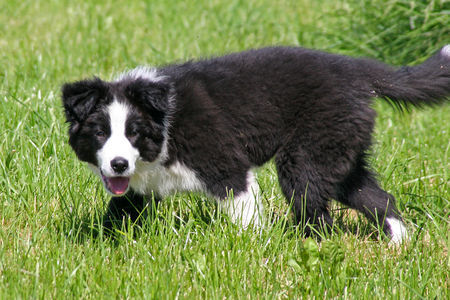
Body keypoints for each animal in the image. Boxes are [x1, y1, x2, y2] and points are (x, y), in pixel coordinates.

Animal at [60, 45, 450, 241]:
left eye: (134, 132)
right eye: (99, 133)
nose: (118, 164)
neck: (166, 125)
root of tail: (358, 71)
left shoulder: (226, 166)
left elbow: (244, 215)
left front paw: (251, 251)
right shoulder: (140, 186)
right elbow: (118, 214)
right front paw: (98, 246)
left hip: (307, 155)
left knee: (316, 211)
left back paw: (308, 247)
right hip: (340, 154)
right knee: (378, 198)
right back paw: (399, 244)